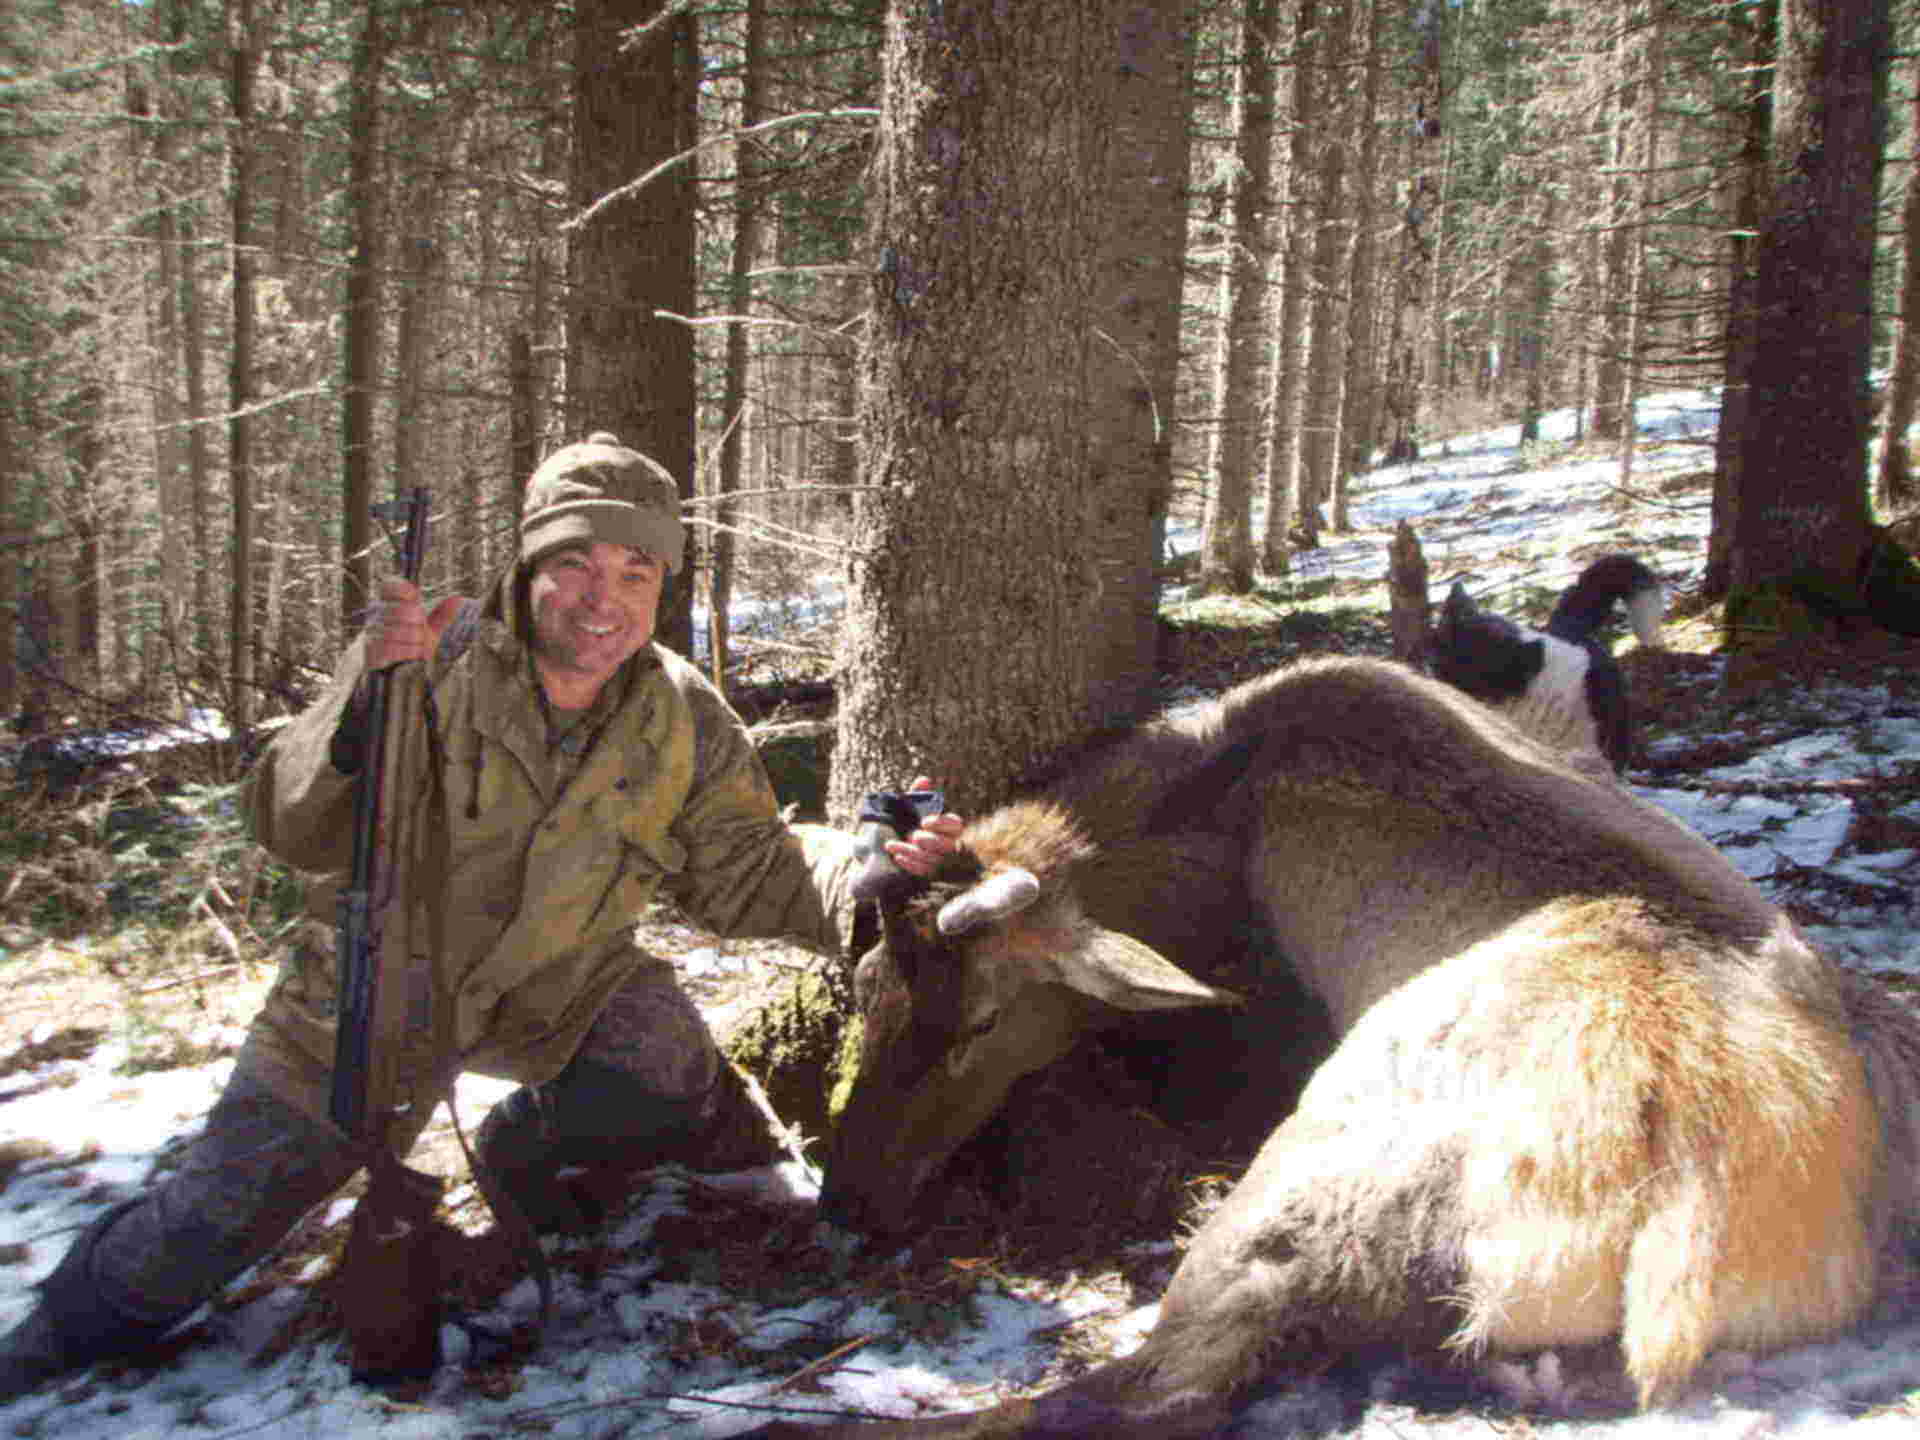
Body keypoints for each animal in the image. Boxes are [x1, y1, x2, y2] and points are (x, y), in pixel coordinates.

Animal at [756, 660, 1920, 1436]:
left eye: (987, 1021)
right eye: (868, 987)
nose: (849, 1199)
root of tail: (1682, 1240)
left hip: (1312, 1174)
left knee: (1155, 1382)